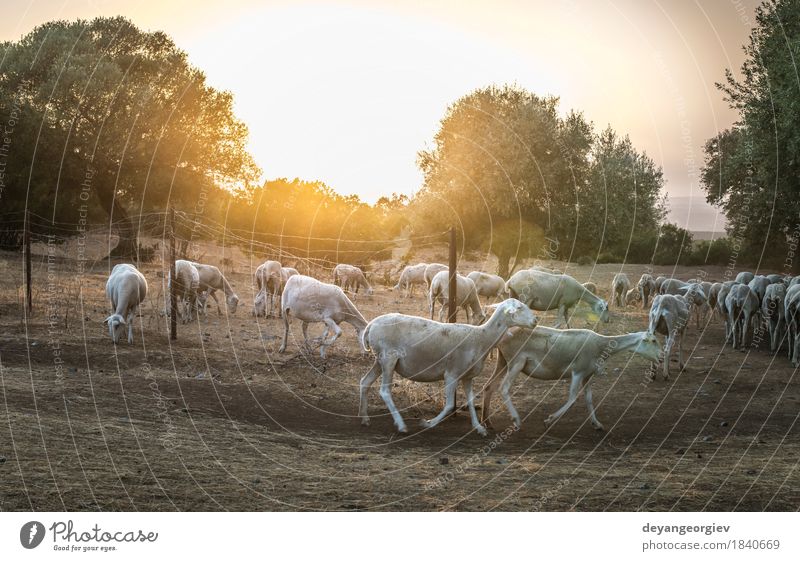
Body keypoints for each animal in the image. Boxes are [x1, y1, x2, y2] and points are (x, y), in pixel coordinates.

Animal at [360, 298, 536, 434]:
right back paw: (401, 425)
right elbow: (450, 404)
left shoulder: (467, 376)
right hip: (389, 358)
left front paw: (479, 428)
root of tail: (371, 325)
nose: (535, 321)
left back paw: (364, 418)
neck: (482, 337)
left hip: (380, 360)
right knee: (384, 391)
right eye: (519, 308)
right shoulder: (452, 374)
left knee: (364, 382)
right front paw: (429, 423)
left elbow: (471, 401)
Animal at [478, 324, 660, 428]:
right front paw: (550, 419)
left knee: (488, 386)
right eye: (653, 340)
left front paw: (597, 424)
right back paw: (516, 420)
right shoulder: (577, 371)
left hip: (503, 361)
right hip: (516, 362)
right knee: (504, 388)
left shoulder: (587, 375)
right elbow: (572, 398)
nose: (661, 357)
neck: (601, 346)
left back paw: (487, 422)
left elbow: (589, 399)